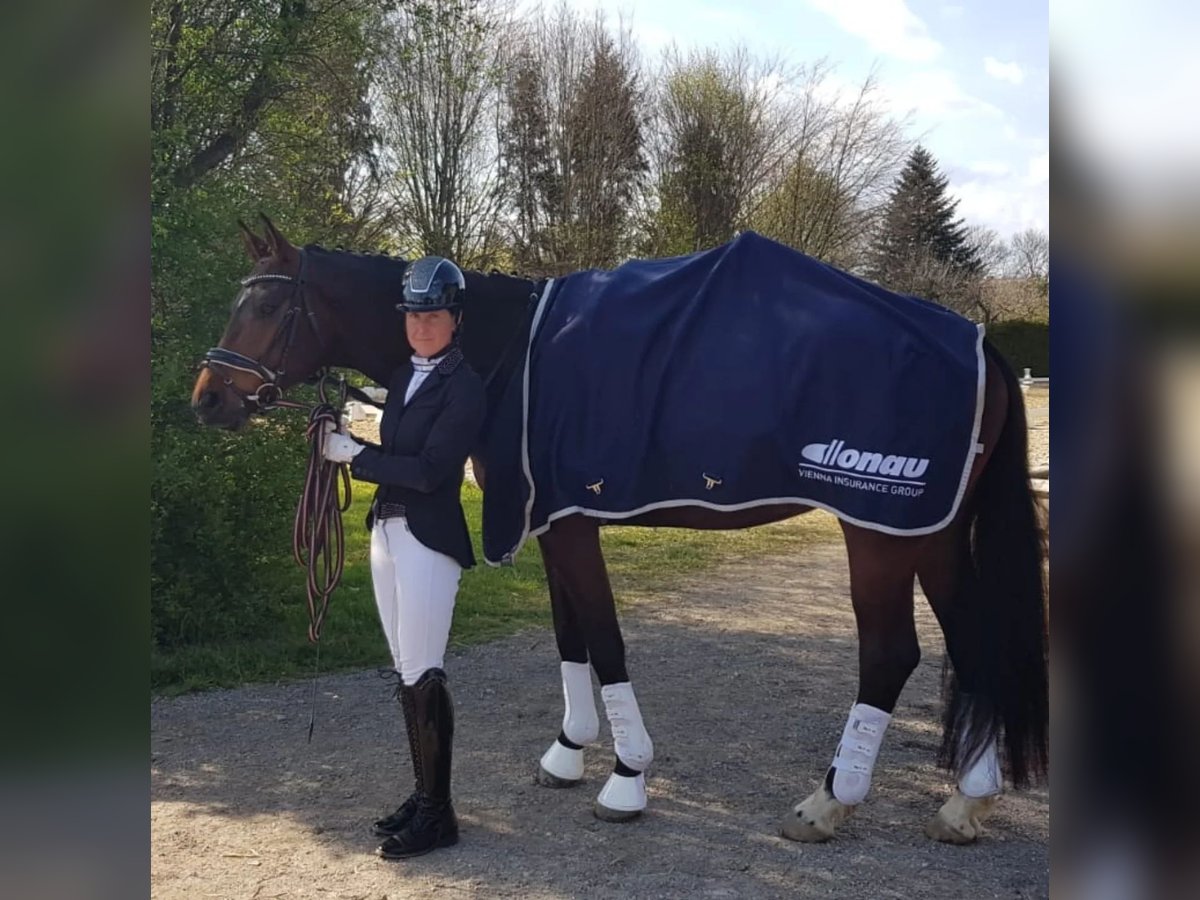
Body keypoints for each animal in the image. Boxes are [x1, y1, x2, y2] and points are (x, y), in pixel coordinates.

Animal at [192, 217, 1046, 844]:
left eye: (264, 307)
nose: (206, 399)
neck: (508, 350)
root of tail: (981, 346)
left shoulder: (568, 524)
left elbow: (603, 641)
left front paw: (628, 777)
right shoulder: (554, 521)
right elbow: (570, 637)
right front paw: (569, 752)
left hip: (880, 532)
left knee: (891, 653)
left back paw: (830, 801)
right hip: (934, 534)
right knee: (971, 641)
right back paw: (967, 800)